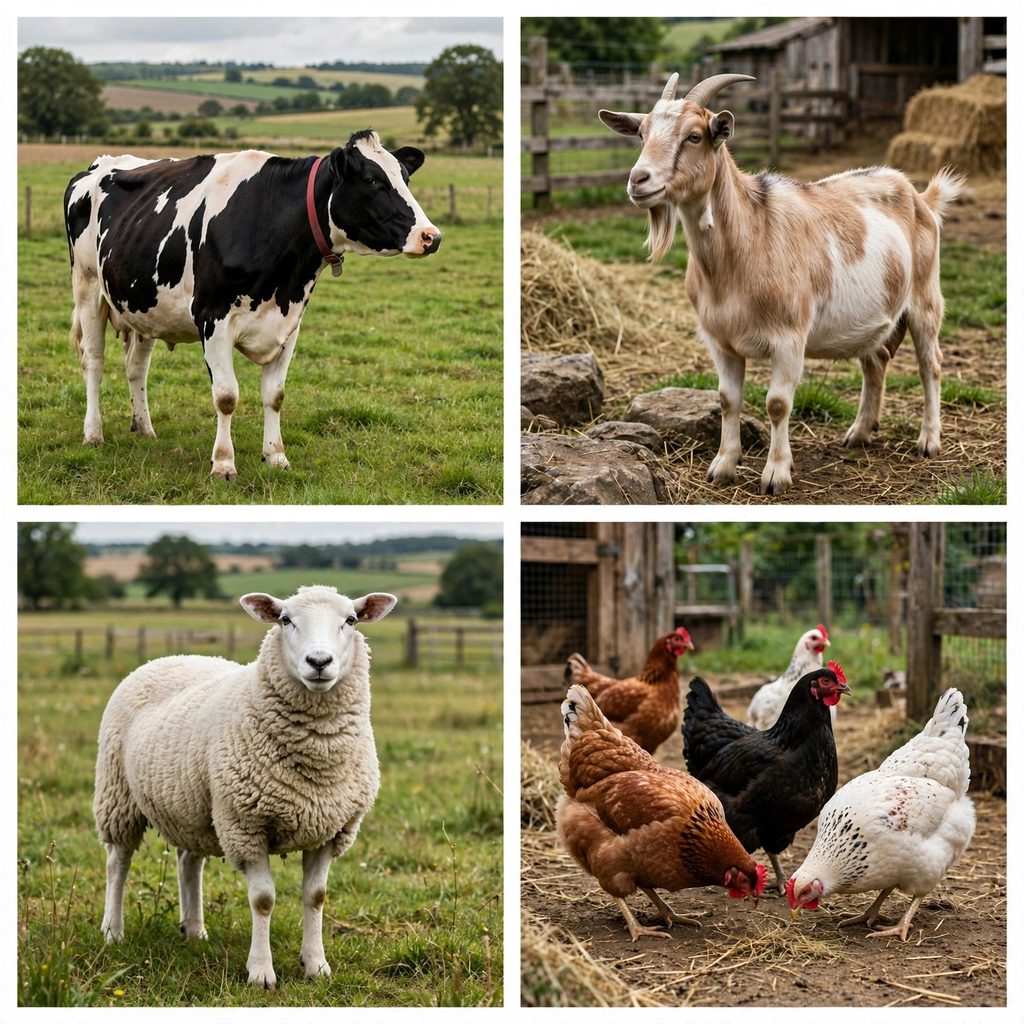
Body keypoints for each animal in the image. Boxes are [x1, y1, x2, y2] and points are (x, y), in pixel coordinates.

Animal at [63, 130, 441, 480]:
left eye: (405, 178)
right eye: (372, 180)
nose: (431, 236)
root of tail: (101, 163)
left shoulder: (289, 322)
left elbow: (275, 395)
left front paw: (276, 456)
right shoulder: (212, 319)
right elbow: (226, 396)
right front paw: (223, 464)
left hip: (142, 304)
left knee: (136, 367)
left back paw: (144, 428)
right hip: (88, 286)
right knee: (94, 361)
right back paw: (93, 433)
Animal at [93, 584, 396, 988]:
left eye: (351, 620)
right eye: (285, 620)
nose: (319, 661)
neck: (316, 756)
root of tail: (174, 655)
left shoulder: (330, 830)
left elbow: (316, 896)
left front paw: (316, 965)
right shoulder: (245, 825)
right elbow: (263, 900)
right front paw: (261, 972)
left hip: (196, 808)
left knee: (189, 863)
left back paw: (194, 930)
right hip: (118, 794)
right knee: (118, 862)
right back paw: (113, 931)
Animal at [600, 73, 963, 495]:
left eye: (694, 136)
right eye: (641, 133)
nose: (638, 180)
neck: (744, 245)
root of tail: (921, 197)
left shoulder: (789, 338)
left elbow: (777, 403)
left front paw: (776, 474)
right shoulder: (719, 340)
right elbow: (727, 399)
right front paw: (723, 466)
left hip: (925, 300)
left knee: (930, 364)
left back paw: (929, 440)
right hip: (875, 315)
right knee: (875, 363)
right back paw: (859, 432)